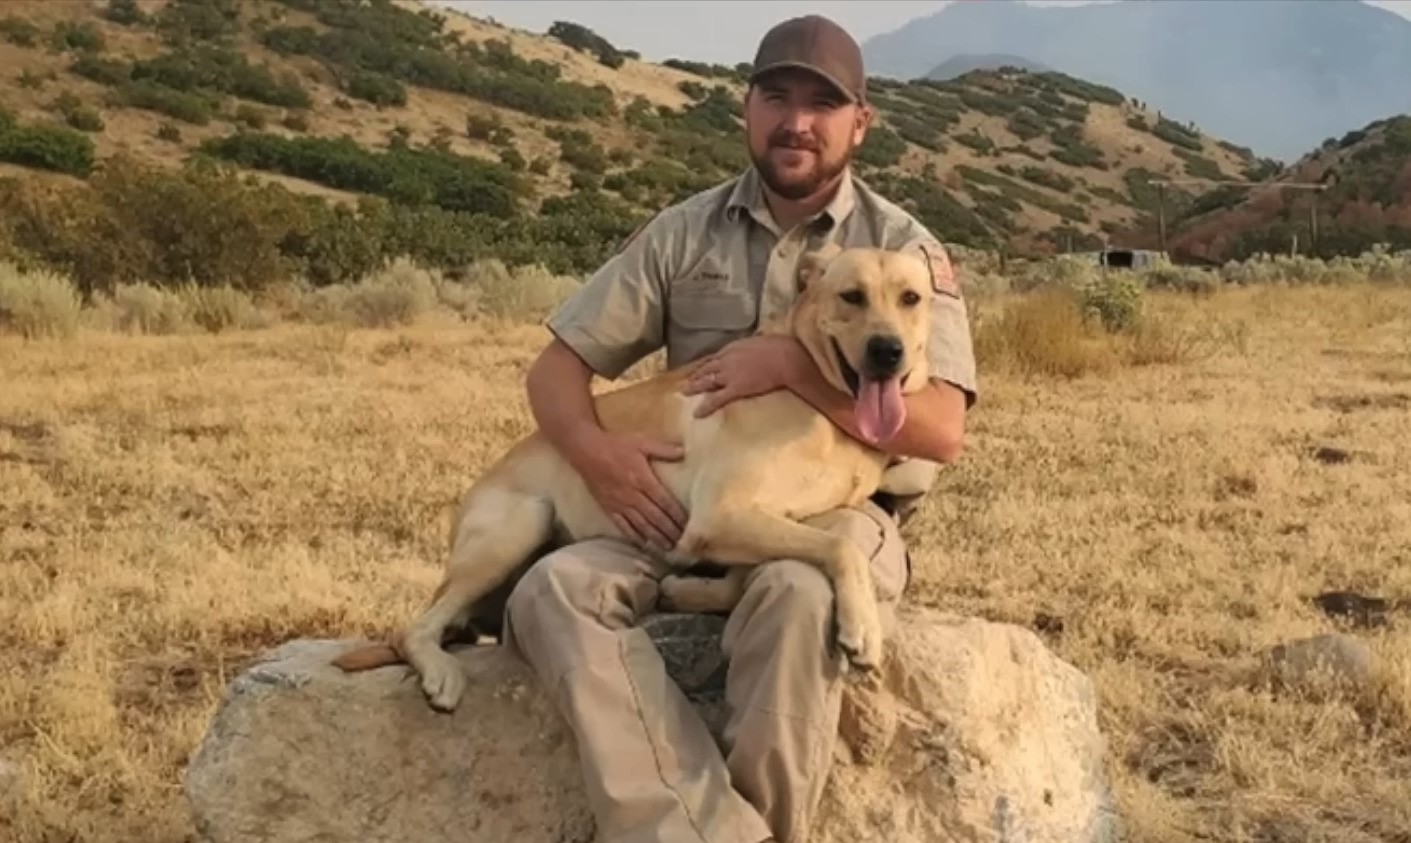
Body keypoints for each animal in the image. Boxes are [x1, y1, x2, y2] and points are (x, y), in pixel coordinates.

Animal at [330, 242, 936, 708]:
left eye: (911, 298)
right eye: (851, 296)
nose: (888, 351)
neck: (817, 399)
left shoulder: (753, 522)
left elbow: (759, 571)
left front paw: (686, 589)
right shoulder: (720, 515)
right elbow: (841, 549)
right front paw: (861, 628)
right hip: (517, 528)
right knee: (415, 627)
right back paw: (441, 673)